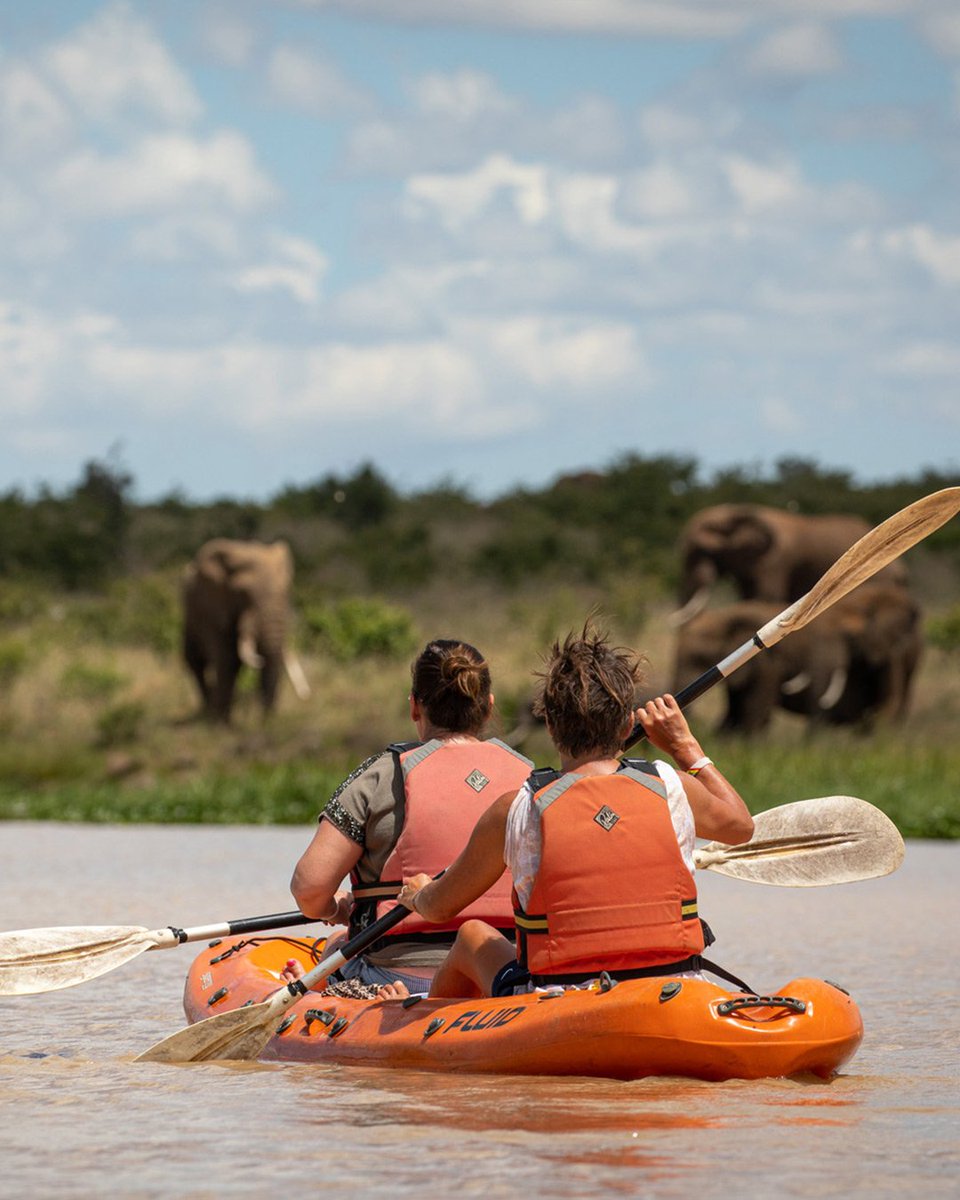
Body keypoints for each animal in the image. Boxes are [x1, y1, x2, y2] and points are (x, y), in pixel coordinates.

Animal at [182, 538, 310, 723]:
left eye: (287, 592)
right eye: (243, 594)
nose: (266, 721)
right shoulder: (212, 608)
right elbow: (227, 659)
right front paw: (222, 724)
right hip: (189, 618)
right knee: (196, 662)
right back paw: (208, 710)